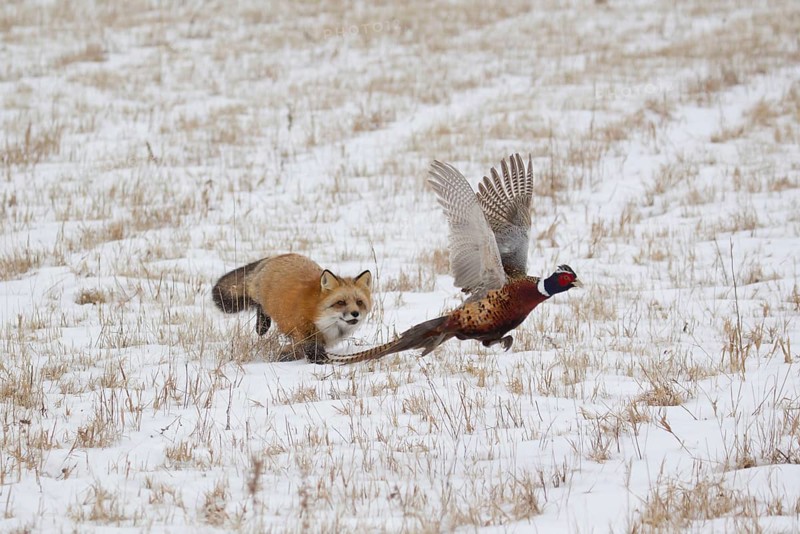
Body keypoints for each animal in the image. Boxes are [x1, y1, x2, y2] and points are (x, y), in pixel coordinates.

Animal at [212, 253, 372, 362]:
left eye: (359, 302)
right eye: (341, 302)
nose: (355, 313)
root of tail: (276, 256)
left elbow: (295, 350)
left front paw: (284, 355)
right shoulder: (303, 332)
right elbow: (310, 350)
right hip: (261, 298)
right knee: (259, 306)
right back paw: (262, 327)